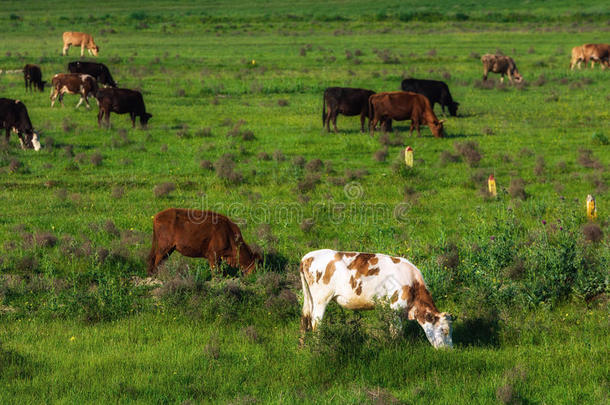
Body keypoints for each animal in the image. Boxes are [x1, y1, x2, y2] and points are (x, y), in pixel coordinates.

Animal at [300, 248, 452, 348]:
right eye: (444, 330)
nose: (449, 351)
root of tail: (308, 256)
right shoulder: (394, 307)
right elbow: (396, 332)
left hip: (310, 299)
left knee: (305, 318)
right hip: (321, 299)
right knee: (316, 323)